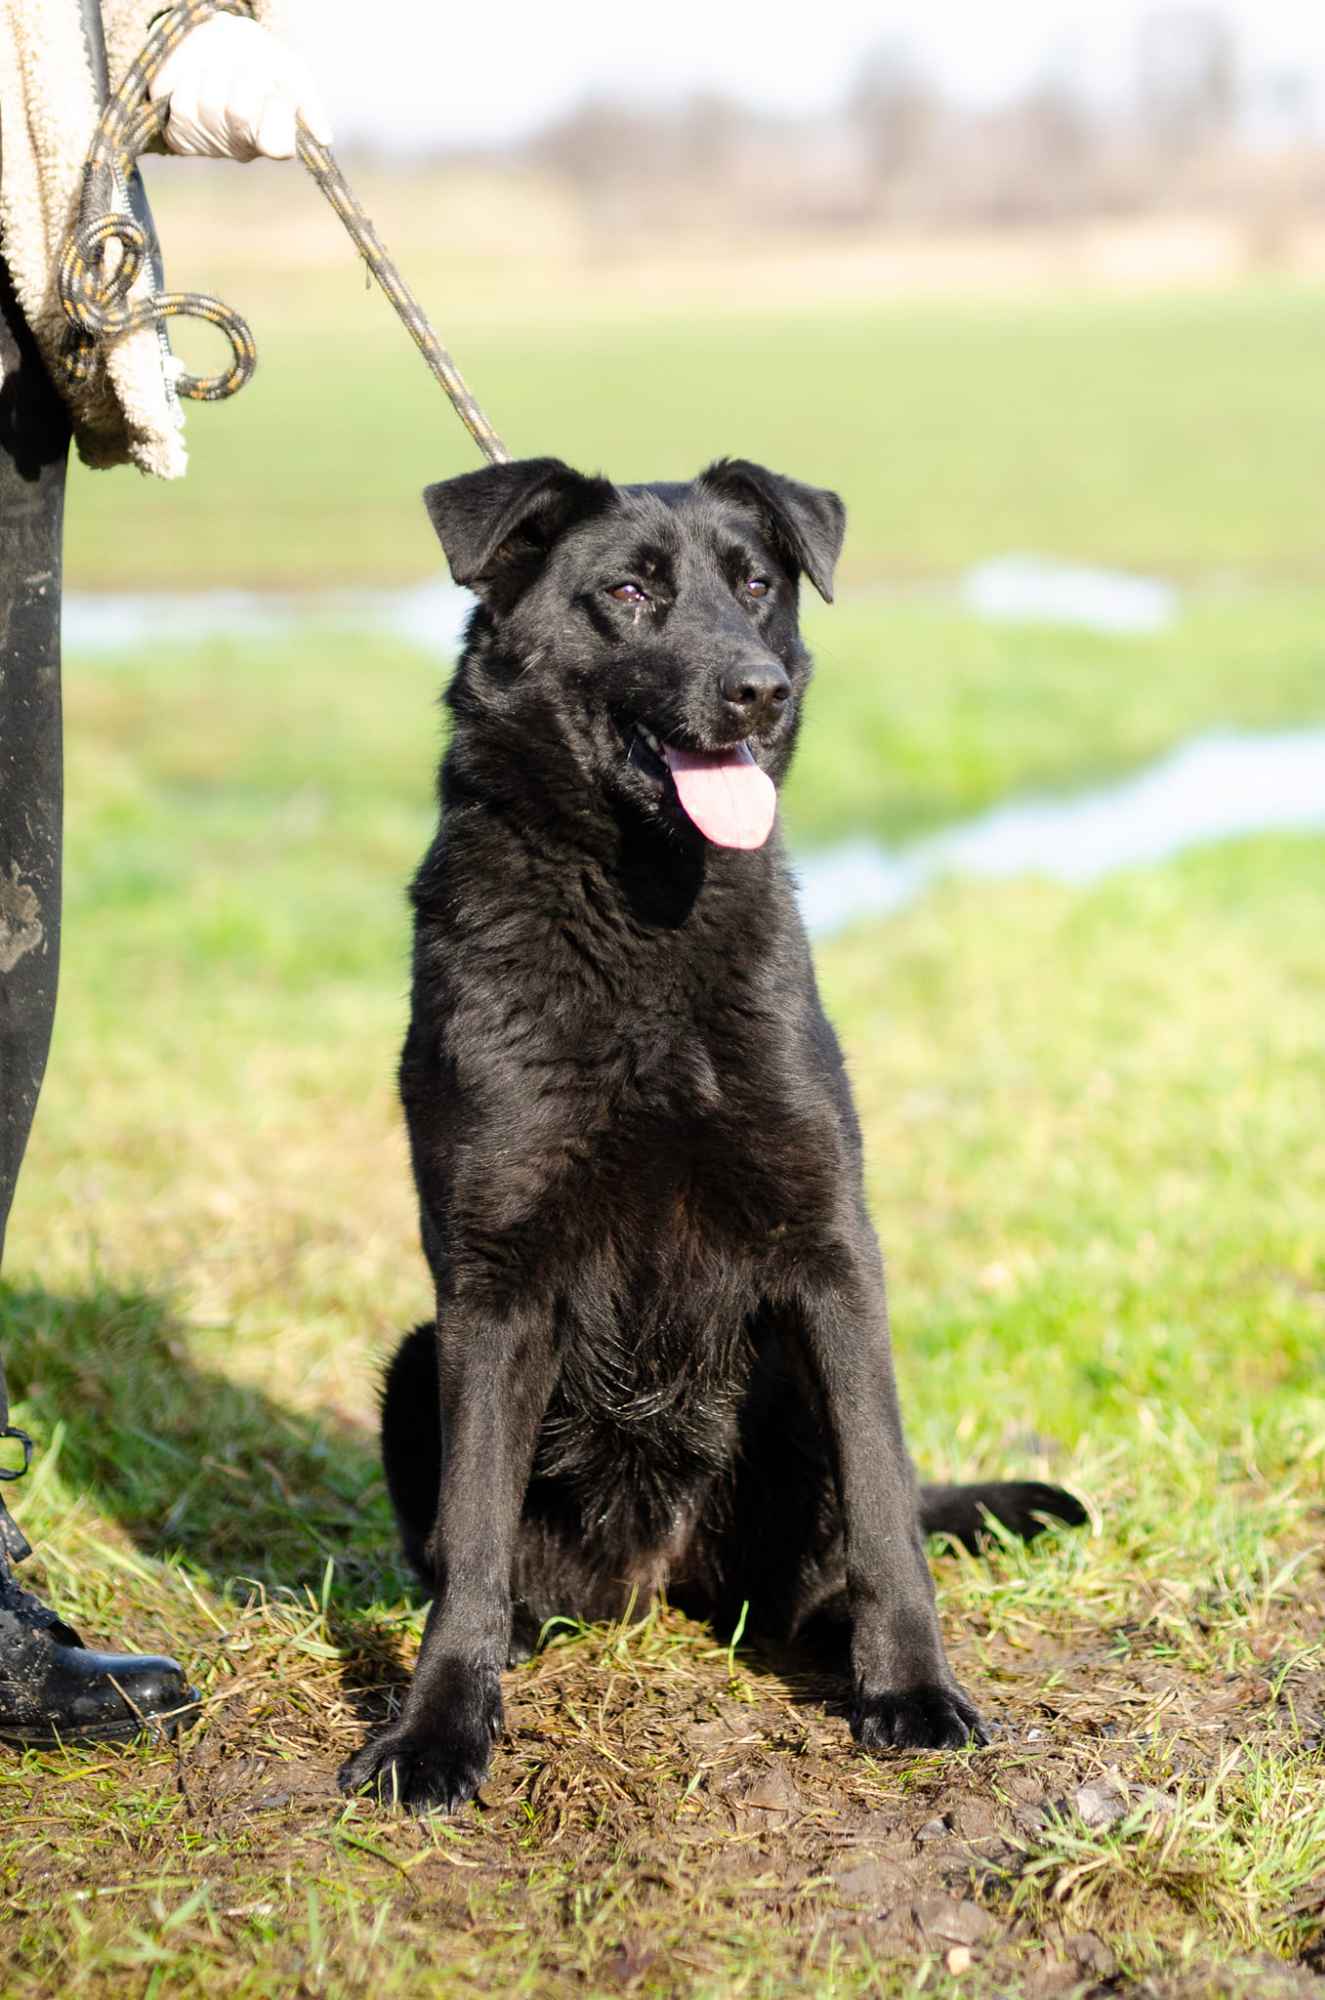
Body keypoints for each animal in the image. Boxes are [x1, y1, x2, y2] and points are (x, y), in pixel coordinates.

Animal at [338, 454, 1088, 1816]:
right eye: (630, 590)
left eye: (753, 586)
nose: (758, 689)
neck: (642, 910)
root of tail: (662, 1578)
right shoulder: (490, 1283)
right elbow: (469, 1536)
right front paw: (436, 1726)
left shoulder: (829, 1256)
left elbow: (886, 1504)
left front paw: (912, 1688)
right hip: (420, 1358)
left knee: (842, 1540)